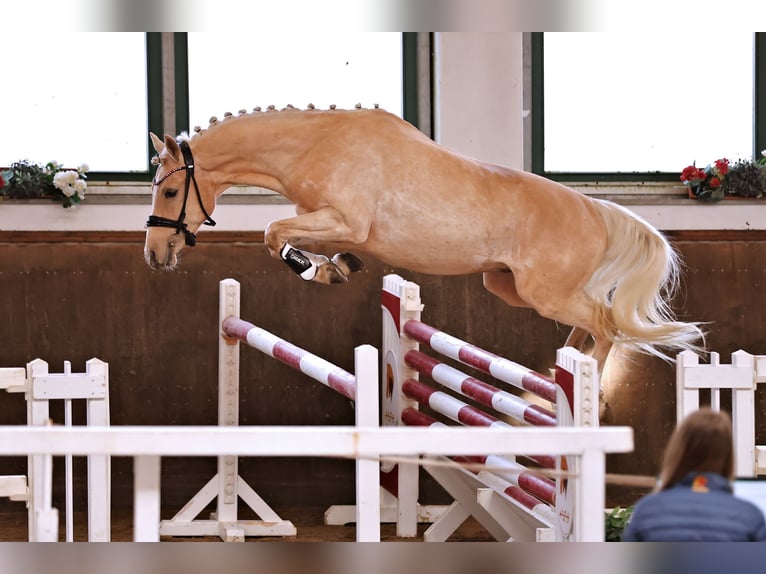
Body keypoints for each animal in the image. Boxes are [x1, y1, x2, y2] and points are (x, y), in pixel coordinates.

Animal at [144, 104, 704, 372]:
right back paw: (553, 378)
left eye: (170, 190)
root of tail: (595, 210)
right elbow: (298, 239)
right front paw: (335, 268)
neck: (316, 143)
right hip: (511, 287)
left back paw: (587, 386)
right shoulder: (330, 223)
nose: (154, 254)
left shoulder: (344, 220)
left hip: (546, 294)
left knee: (606, 325)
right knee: (590, 324)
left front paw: (315, 270)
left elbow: (273, 232)